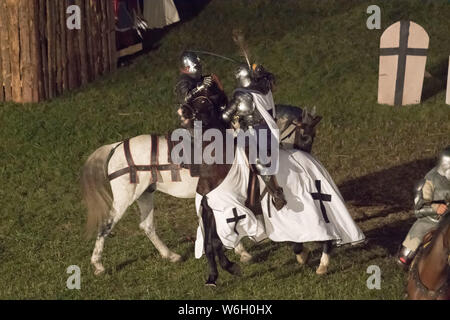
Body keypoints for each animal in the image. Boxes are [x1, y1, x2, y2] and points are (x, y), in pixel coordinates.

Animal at [80, 134, 250, 276]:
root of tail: (117, 145)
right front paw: (242, 252)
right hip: (125, 197)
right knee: (106, 225)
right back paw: (98, 265)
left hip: (145, 195)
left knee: (146, 226)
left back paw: (171, 255)